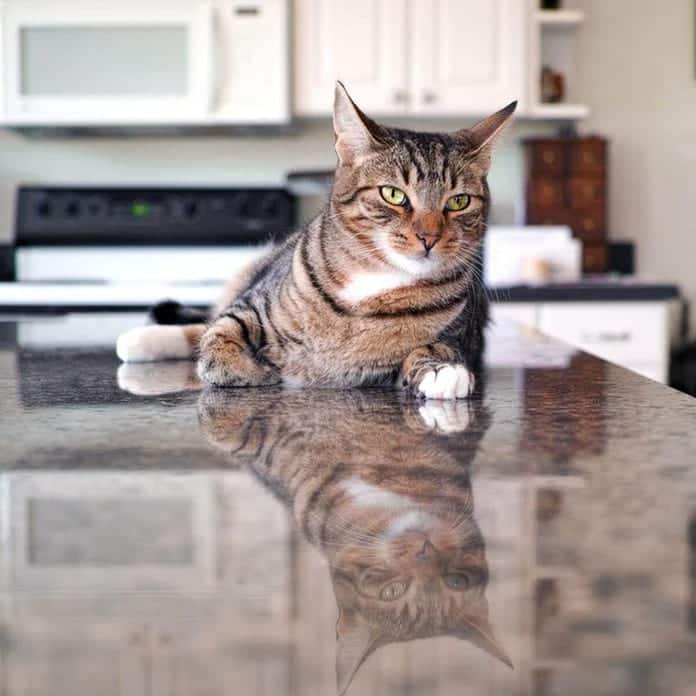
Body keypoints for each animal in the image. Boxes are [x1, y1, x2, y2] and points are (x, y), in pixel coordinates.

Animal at [117, 83, 512, 400]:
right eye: (394, 195)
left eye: (459, 202)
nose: (429, 237)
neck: (373, 282)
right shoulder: (252, 304)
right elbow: (221, 335)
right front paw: (252, 368)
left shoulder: (457, 336)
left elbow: (435, 349)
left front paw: (442, 371)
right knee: (205, 323)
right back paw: (139, 340)